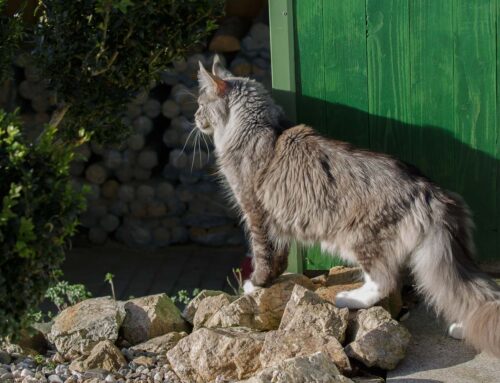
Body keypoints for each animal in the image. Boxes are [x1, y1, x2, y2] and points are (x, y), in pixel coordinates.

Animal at [194, 54, 500, 356]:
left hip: (360, 237)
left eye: (200, 105)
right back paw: (462, 328)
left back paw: (351, 298)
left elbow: (262, 255)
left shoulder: (255, 212)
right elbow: (279, 257)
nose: (195, 118)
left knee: (385, 281)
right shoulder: (276, 219)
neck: (255, 127)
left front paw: (255, 284)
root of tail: (430, 190)